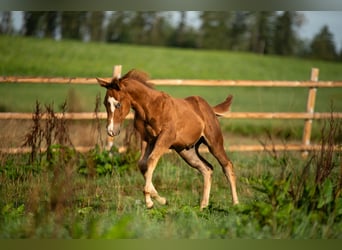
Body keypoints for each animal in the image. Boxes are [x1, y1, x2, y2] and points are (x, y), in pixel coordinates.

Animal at [97, 69, 239, 210]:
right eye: (105, 103)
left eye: (118, 104)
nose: (111, 131)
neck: (150, 107)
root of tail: (210, 109)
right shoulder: (147, 139)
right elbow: (142, 164)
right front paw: (162, 200)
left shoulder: (165, 138)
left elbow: (151, 160)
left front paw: (149, 201)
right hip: (187, 151)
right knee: (207, 169)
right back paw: (203, 206)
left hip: (214, 142)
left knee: (227, 165)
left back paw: (236, 204)